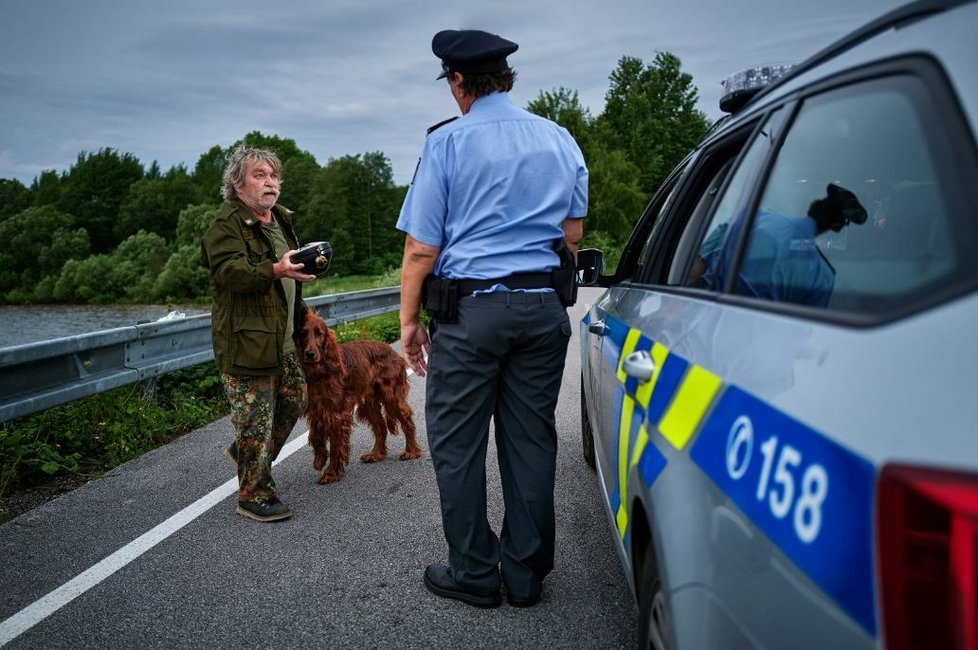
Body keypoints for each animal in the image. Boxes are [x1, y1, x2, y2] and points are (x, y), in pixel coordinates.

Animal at [296, 308, 422, 480]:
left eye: (319, 334)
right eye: (303, 333)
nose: (310, 354)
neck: (321, 372)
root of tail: (392, 351)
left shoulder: (336, 414)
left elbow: (335, 445)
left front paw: (331, 473)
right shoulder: (316, 410)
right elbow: (315, 435)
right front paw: (320, 459)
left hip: (392, 397)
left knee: (407, 422)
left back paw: (411, 452)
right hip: (369, 403)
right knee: (380, 427)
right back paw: (375, 454)